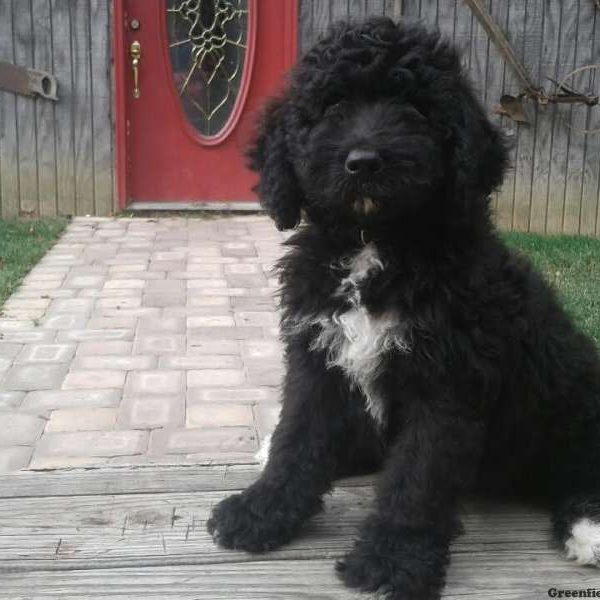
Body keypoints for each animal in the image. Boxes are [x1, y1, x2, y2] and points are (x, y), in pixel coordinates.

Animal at [209, 16, 600, 596]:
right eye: (332, 106)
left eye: (415, 109)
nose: (364, 161)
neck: (375, 243)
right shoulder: (317, 356)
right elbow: (297, 438)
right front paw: (262, 510)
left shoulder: (446, 381)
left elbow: (417, 476)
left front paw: (392, 558)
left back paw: (589, 525)